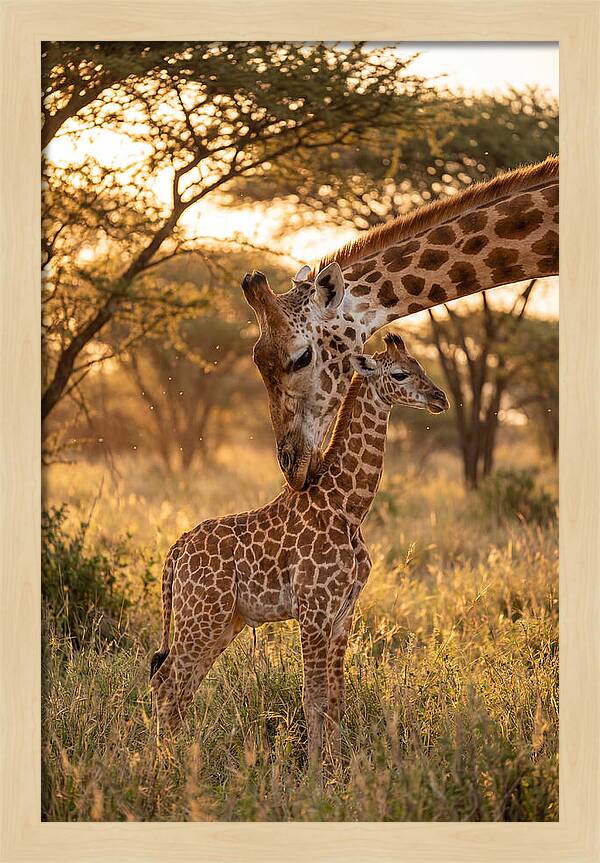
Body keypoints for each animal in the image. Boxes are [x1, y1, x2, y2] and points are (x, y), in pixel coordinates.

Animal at [150, 334, 448, 766]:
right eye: (400, 373)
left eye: (420, 365)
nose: (440, 398)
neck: (347, 506)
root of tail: (175, 552)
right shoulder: (313, 609)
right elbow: (313, 698)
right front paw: (314, 774)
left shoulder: (343, 613)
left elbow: (336, 699)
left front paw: (339, 768)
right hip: (202, 615)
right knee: (167, 683)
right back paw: (164, 768)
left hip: (223, 621)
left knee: (180, 685)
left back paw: (178, 761)